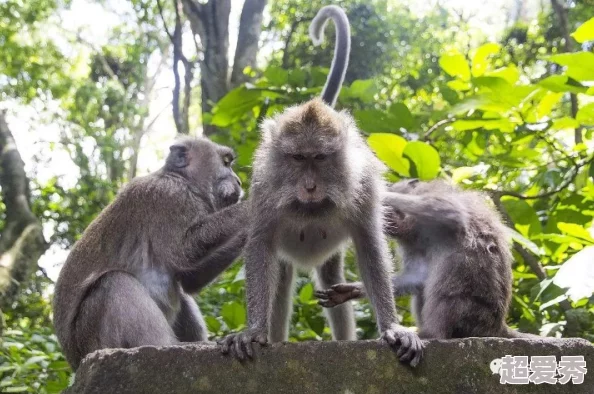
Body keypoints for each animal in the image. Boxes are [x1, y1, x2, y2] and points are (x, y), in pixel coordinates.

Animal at [54, 136, 249, 370]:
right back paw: (167, 346)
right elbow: (183, 251)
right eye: (226, 163)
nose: (238, 181)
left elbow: (189, 280)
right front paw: (258, 204)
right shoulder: (168, 197)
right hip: (93, 339)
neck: (182, 180)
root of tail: (75, 361)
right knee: (114, 283)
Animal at [217, 4, 420, 368]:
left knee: (330, 280)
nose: (310, 187)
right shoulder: (264, 187)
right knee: (281, 284)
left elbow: (370, 245)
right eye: (298, 158)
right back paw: (274, 337)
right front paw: (252, 332)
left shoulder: (364, 186)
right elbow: (260, 246)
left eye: (321, 158)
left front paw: (392, 326)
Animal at [316, 180, 540, 340]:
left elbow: (450, 211)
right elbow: (417, 276)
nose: (390, 222)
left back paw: (431, 334)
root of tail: (496, 326)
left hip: (474, 314)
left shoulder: (431, 195)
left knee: (449, 281)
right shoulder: (411, 241)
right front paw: (351, 291)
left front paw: (380, 194)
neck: (416, 226)